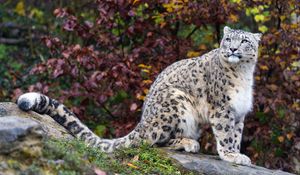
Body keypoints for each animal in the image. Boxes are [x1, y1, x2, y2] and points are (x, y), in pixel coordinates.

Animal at [17, 25, 260, 165]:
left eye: (244, 41)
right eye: (228, 40)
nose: (232, 49)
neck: (243, 73)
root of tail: (142, 121)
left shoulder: (239, 112)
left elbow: (236, 134)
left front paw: (238, 153)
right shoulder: (222, 108)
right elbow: (226, 134)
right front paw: (231, 155)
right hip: (176, 103)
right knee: (154, 141)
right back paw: (188, 143)